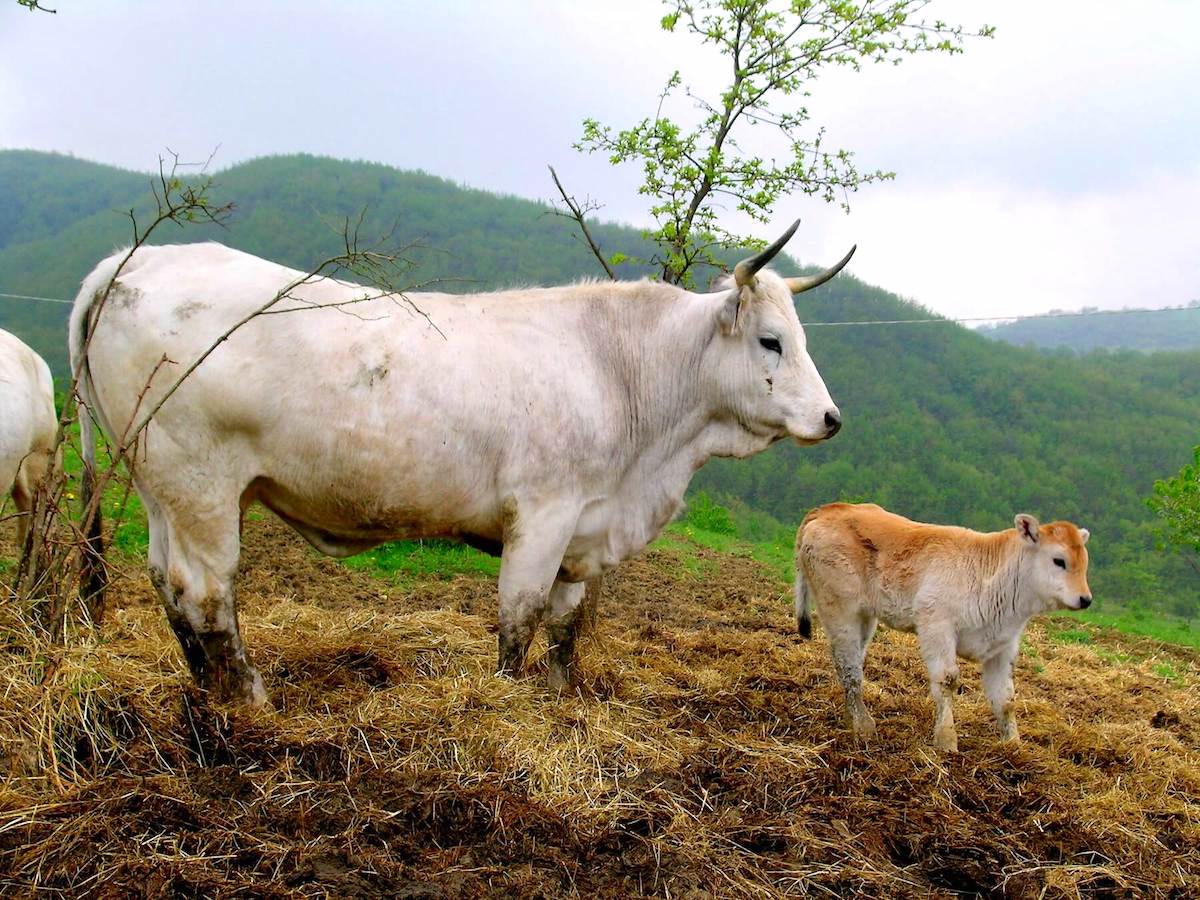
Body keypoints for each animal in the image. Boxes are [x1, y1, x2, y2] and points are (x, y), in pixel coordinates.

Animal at [70, 222, 854, 710]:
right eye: (771, 340)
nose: (831, 418)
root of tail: (128, 261)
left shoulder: (586, 529)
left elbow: (567, 624)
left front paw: (561, 698)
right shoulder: (543, 513)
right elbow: (520, 617)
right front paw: (504, 700)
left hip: (161, 487)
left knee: (167, 584)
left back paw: (205, 689)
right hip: (200, 485)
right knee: (206, 590)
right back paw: (249, 697)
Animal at [792, 504, 1094, 748]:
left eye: (1084, 563)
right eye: (1059, 560)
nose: (1086, 599)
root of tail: (828, 509)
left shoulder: (1004, 645)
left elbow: (1005, 698)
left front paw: (1014, 745)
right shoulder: (936, 625)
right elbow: (947, 681)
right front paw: (947, 740)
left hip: (865, 617)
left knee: (850, 661)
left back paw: (851, 718)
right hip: (839, 607)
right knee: (849, 667)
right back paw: (864, 727)